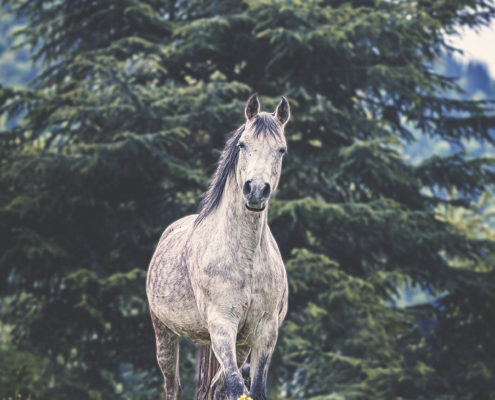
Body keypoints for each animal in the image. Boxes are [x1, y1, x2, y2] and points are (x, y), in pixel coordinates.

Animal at [145, 94, 290, 400]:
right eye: (242, 145)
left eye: (281, 150)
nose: (256, 190)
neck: (246, 258)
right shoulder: (222, 323)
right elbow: (236, 386)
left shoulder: (265, 331)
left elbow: (253, 389)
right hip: (164, 331)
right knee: (172, 386)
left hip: (242, 343)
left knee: (215, 386)